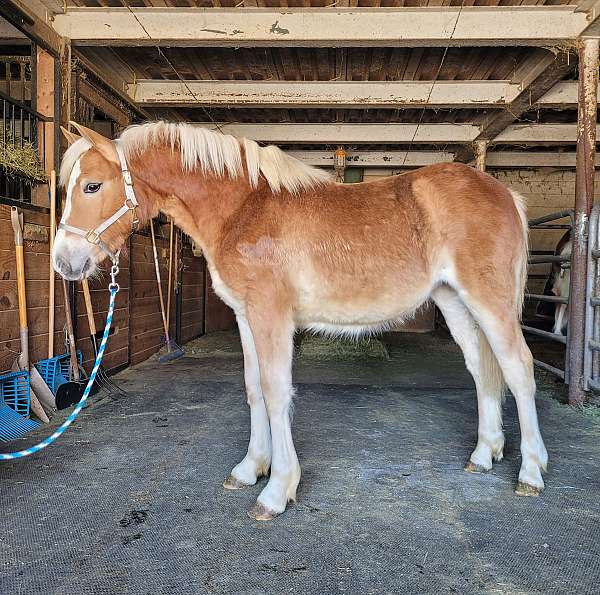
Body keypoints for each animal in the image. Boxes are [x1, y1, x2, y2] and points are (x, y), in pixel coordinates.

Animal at [54, 121, 548, 520]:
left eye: (93, 186)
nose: (64, 262)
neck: (242, 209)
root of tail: (505, 194)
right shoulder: (246, 316)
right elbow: (254, 389)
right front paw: (250, 468)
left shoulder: (271, 313)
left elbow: (276, 393)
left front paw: (276, 490)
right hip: (454, 301)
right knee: (482, 369)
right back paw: (484, 454)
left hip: (488, 300)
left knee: (518, 369)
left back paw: (530, 471)